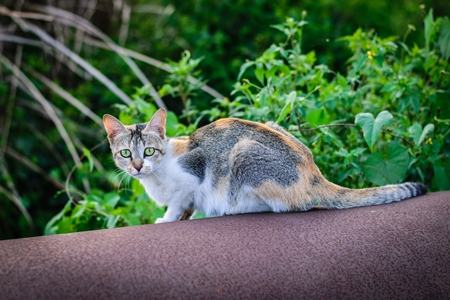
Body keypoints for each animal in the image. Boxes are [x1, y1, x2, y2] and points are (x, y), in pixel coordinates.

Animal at [103, 108, 428, 223]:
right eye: (125, 154)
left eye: (148, 151)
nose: (137, 166)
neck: (155, 177)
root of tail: (316, 175)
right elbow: (186, 207)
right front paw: (181, 217)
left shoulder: (193, 172)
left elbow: (178, 202)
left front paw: (167, 219)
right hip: (272, 125)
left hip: (243, 152)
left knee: (290, 206)